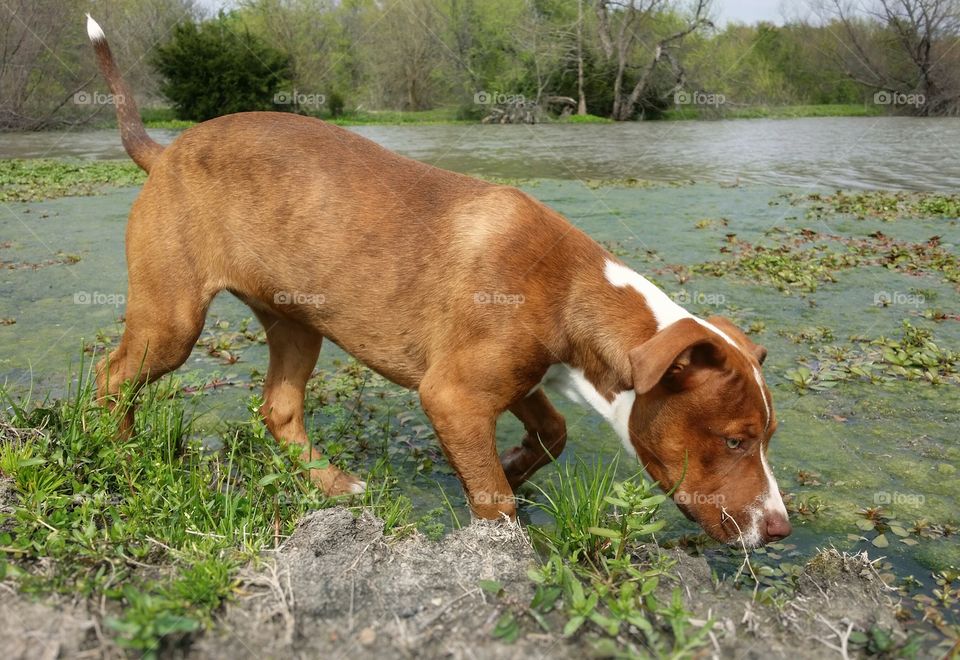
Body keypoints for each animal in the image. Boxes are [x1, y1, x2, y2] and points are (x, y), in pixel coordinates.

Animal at [86, 14, 788, 548]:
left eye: (767, 438)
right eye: (734, 439)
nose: (780, 528)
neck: (573, 291)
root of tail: (166, 152)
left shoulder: (514, 381)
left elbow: (553, 433)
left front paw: (514, 467)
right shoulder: (453, 394)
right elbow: (496, 502)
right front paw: (502, 538)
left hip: (295, 320)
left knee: (279, 409)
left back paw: (335, 486)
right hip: (172, 316)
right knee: (113, 376)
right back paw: (121, 456)